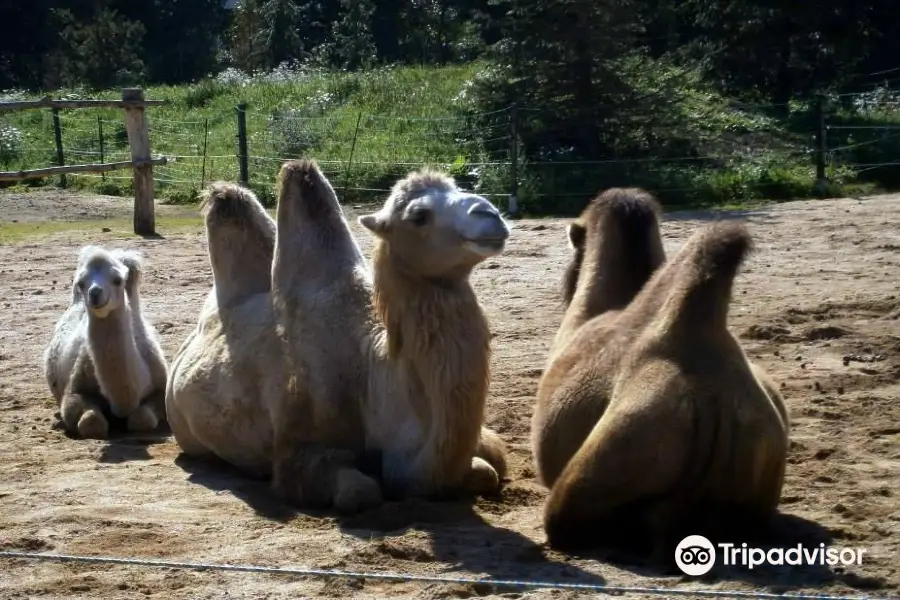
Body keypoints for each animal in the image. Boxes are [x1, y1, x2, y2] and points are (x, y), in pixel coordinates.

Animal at [42, 246, 170, 438]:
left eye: (117, 280)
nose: (94, 293)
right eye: (81, 283)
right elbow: (90, 422)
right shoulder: (74, 391)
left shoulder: (161, 389)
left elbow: (143, 419)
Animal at [165, 159, 510, 510]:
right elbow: (360, 492)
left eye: (459, 188)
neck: (370, 369)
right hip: (186, 433)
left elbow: (488, 472)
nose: (490, 214)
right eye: (419, 216)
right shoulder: (298, 449)